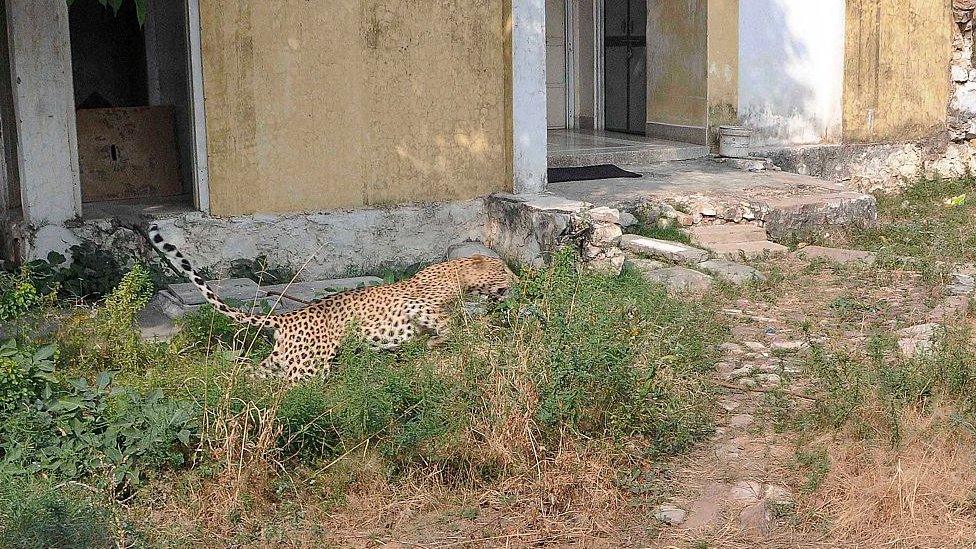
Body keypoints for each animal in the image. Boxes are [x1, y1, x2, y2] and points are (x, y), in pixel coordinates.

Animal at [145, 223, 520, 382]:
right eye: (502, 269)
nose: (517, 280)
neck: (458, 276)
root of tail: (285, 318)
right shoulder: (416, 304)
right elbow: (450, 323)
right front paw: (451, 336)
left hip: (279, 362)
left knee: (252, 377)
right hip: (309, 366)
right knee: (292, 391)